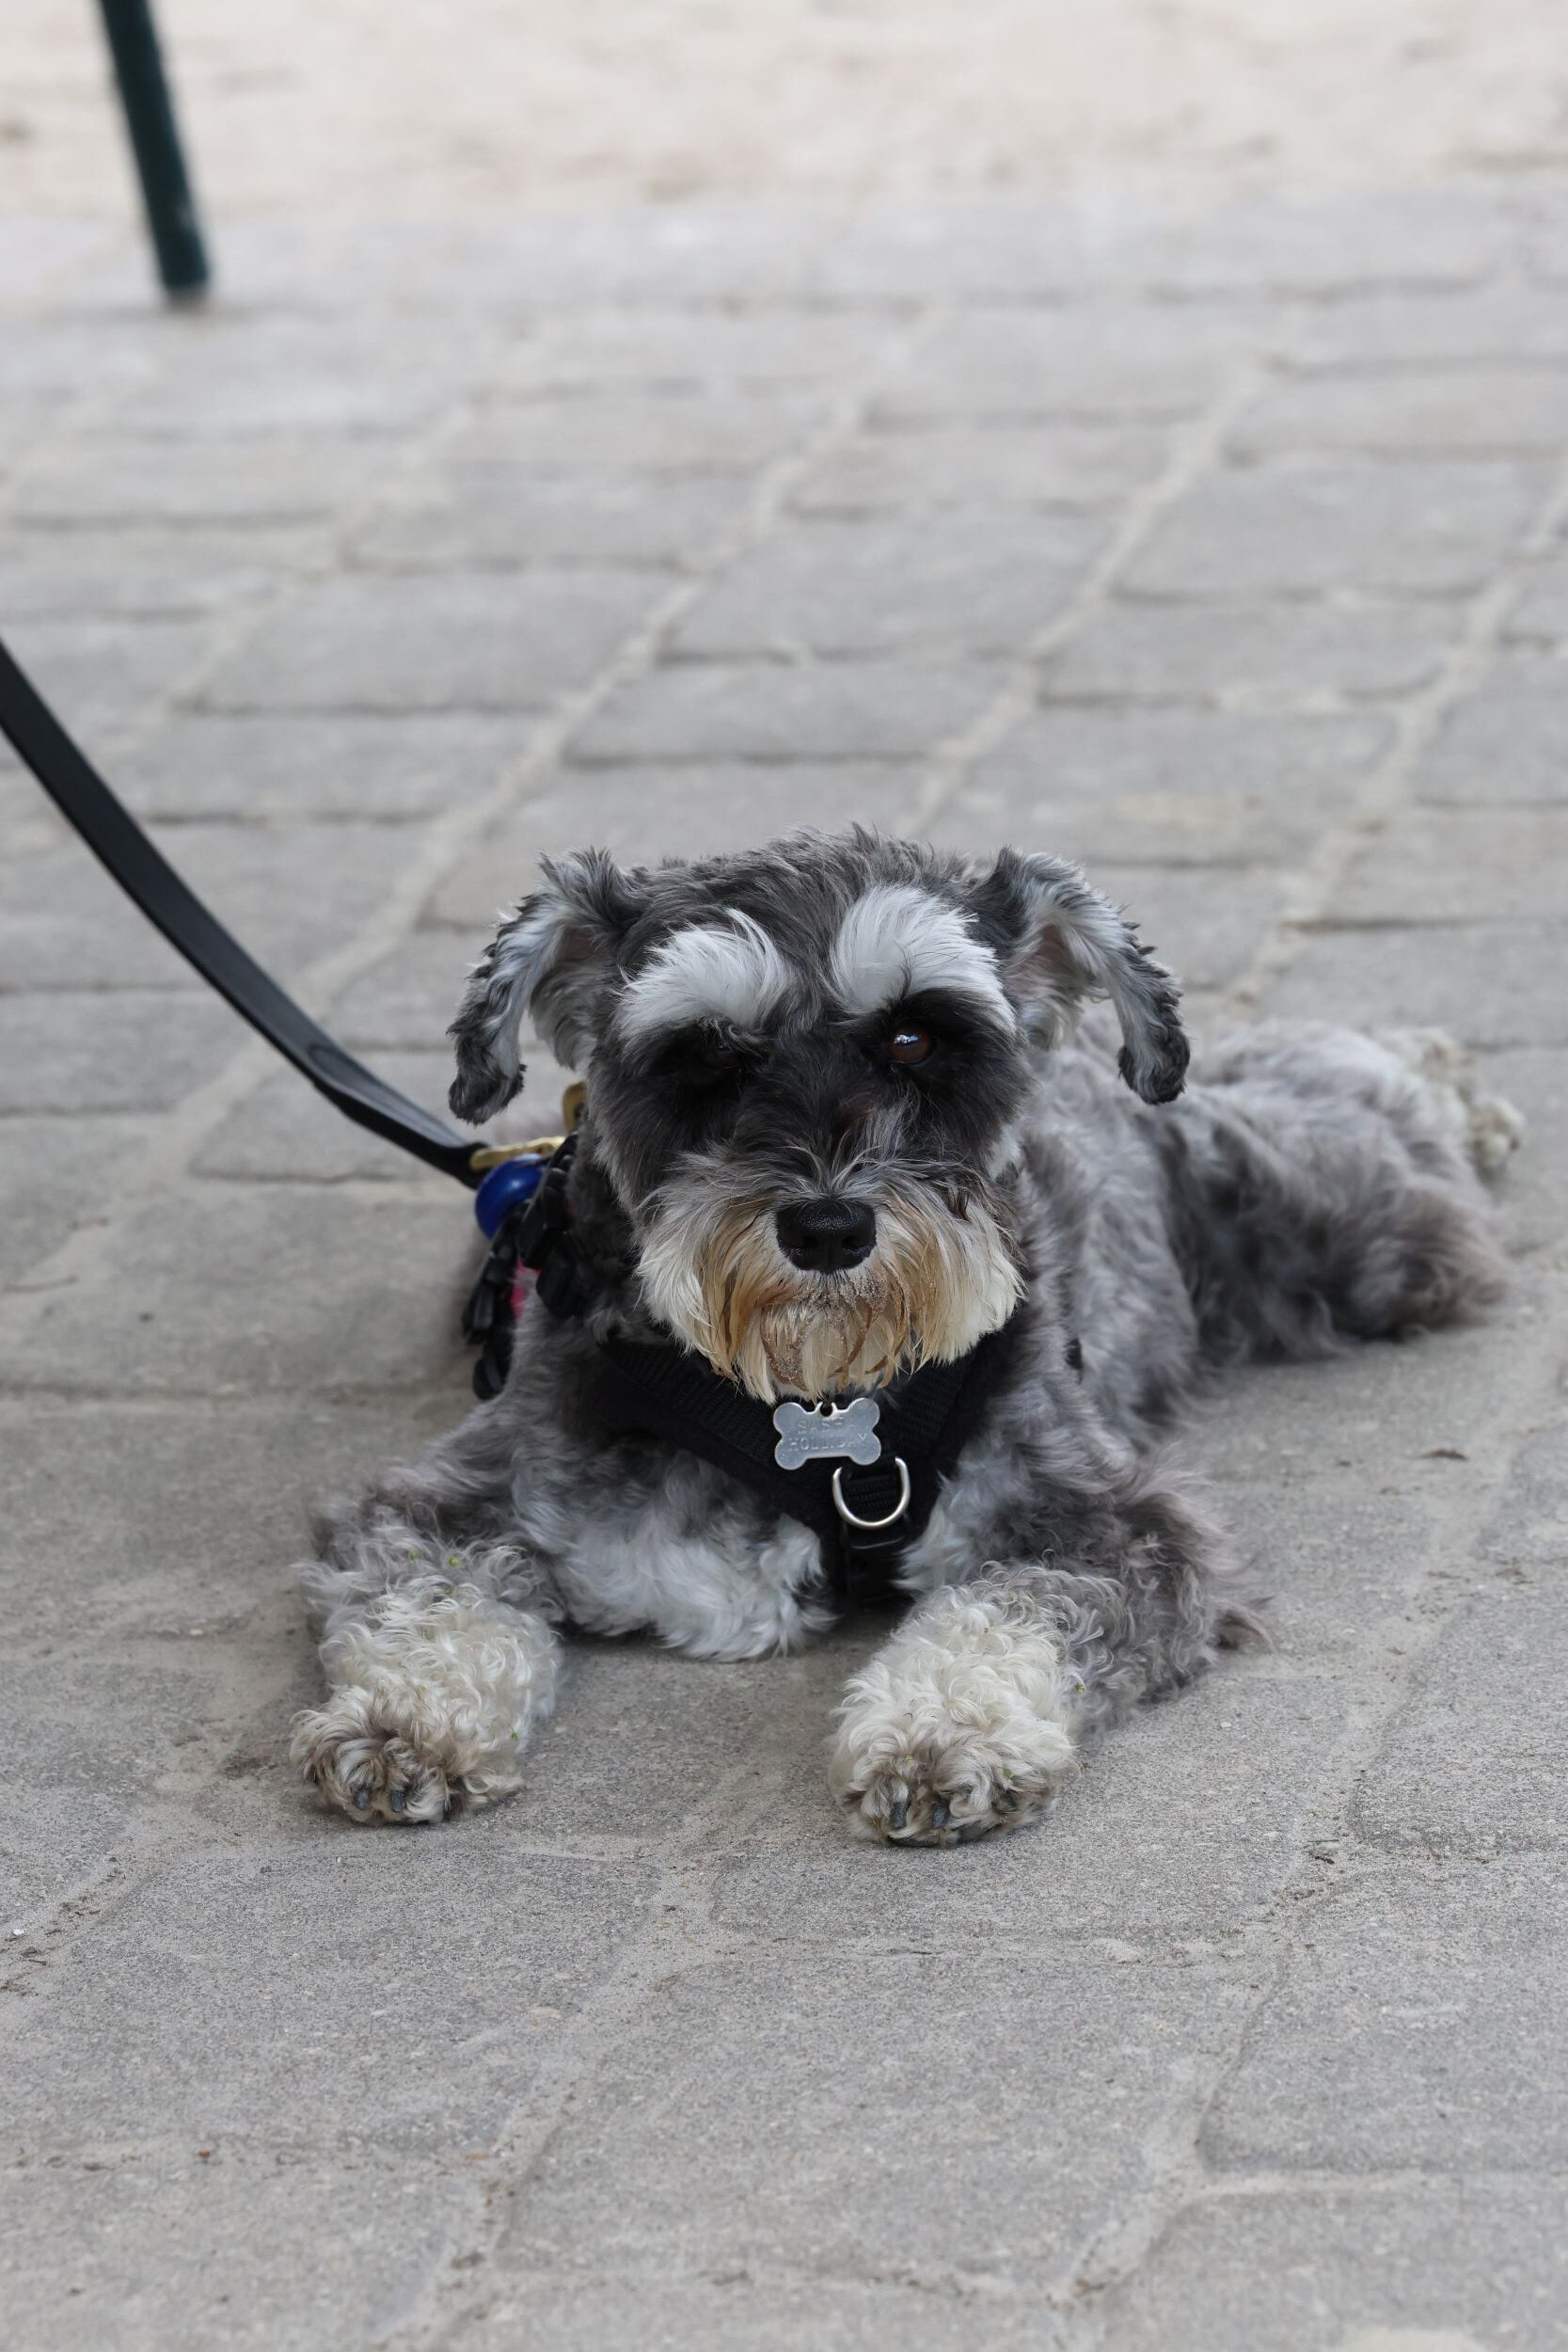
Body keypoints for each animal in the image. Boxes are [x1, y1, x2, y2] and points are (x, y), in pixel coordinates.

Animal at [288, 837, 1513, 1844]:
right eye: (706, 1053)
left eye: (915, 1035)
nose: (828, 1228)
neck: (816, 1400)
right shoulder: (450, 1501)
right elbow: (426, 1598)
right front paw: (399, 1719)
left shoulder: (1113, 1527)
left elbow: (1007, 1607)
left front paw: (945, 1735)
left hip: (1337, 1226)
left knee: (1356, 1100)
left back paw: (1457, 1087)